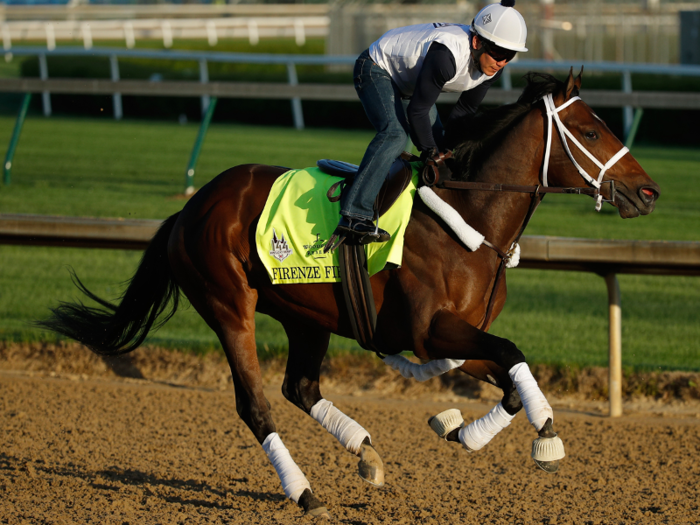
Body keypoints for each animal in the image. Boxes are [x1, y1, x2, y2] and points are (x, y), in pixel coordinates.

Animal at [39, 68, 660, 516]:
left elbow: (509, 377)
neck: (465, 214)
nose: (649, 191)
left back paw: (365, 451)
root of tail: (191, 208)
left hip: (304, 315)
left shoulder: (450, 336)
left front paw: (460, 430)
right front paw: (546, 438)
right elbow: (512, 354)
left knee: (300, 386)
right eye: (590, 131)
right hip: (228, 306)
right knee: (257, 403)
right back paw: (304, 491)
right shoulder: (431, 332)